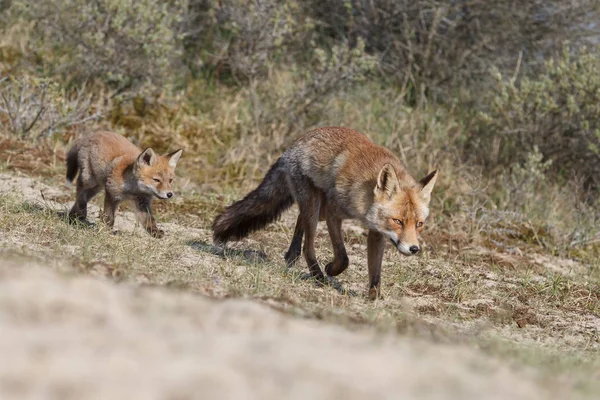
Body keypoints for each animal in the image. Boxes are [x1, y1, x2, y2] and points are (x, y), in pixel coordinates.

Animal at [213, 126, 438, 298]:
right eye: (398, 221)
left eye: (419, 224)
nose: (414, 249)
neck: (364, 195)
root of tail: (292, 147)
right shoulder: (334, 214)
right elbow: (344, 257)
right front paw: (332, 269)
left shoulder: (376, 231)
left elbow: (375, 271)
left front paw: (374, 298)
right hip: (315, 207)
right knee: (308, 245)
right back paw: (317, 274)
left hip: (316, 209)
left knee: (300, 220)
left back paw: (291, 256)